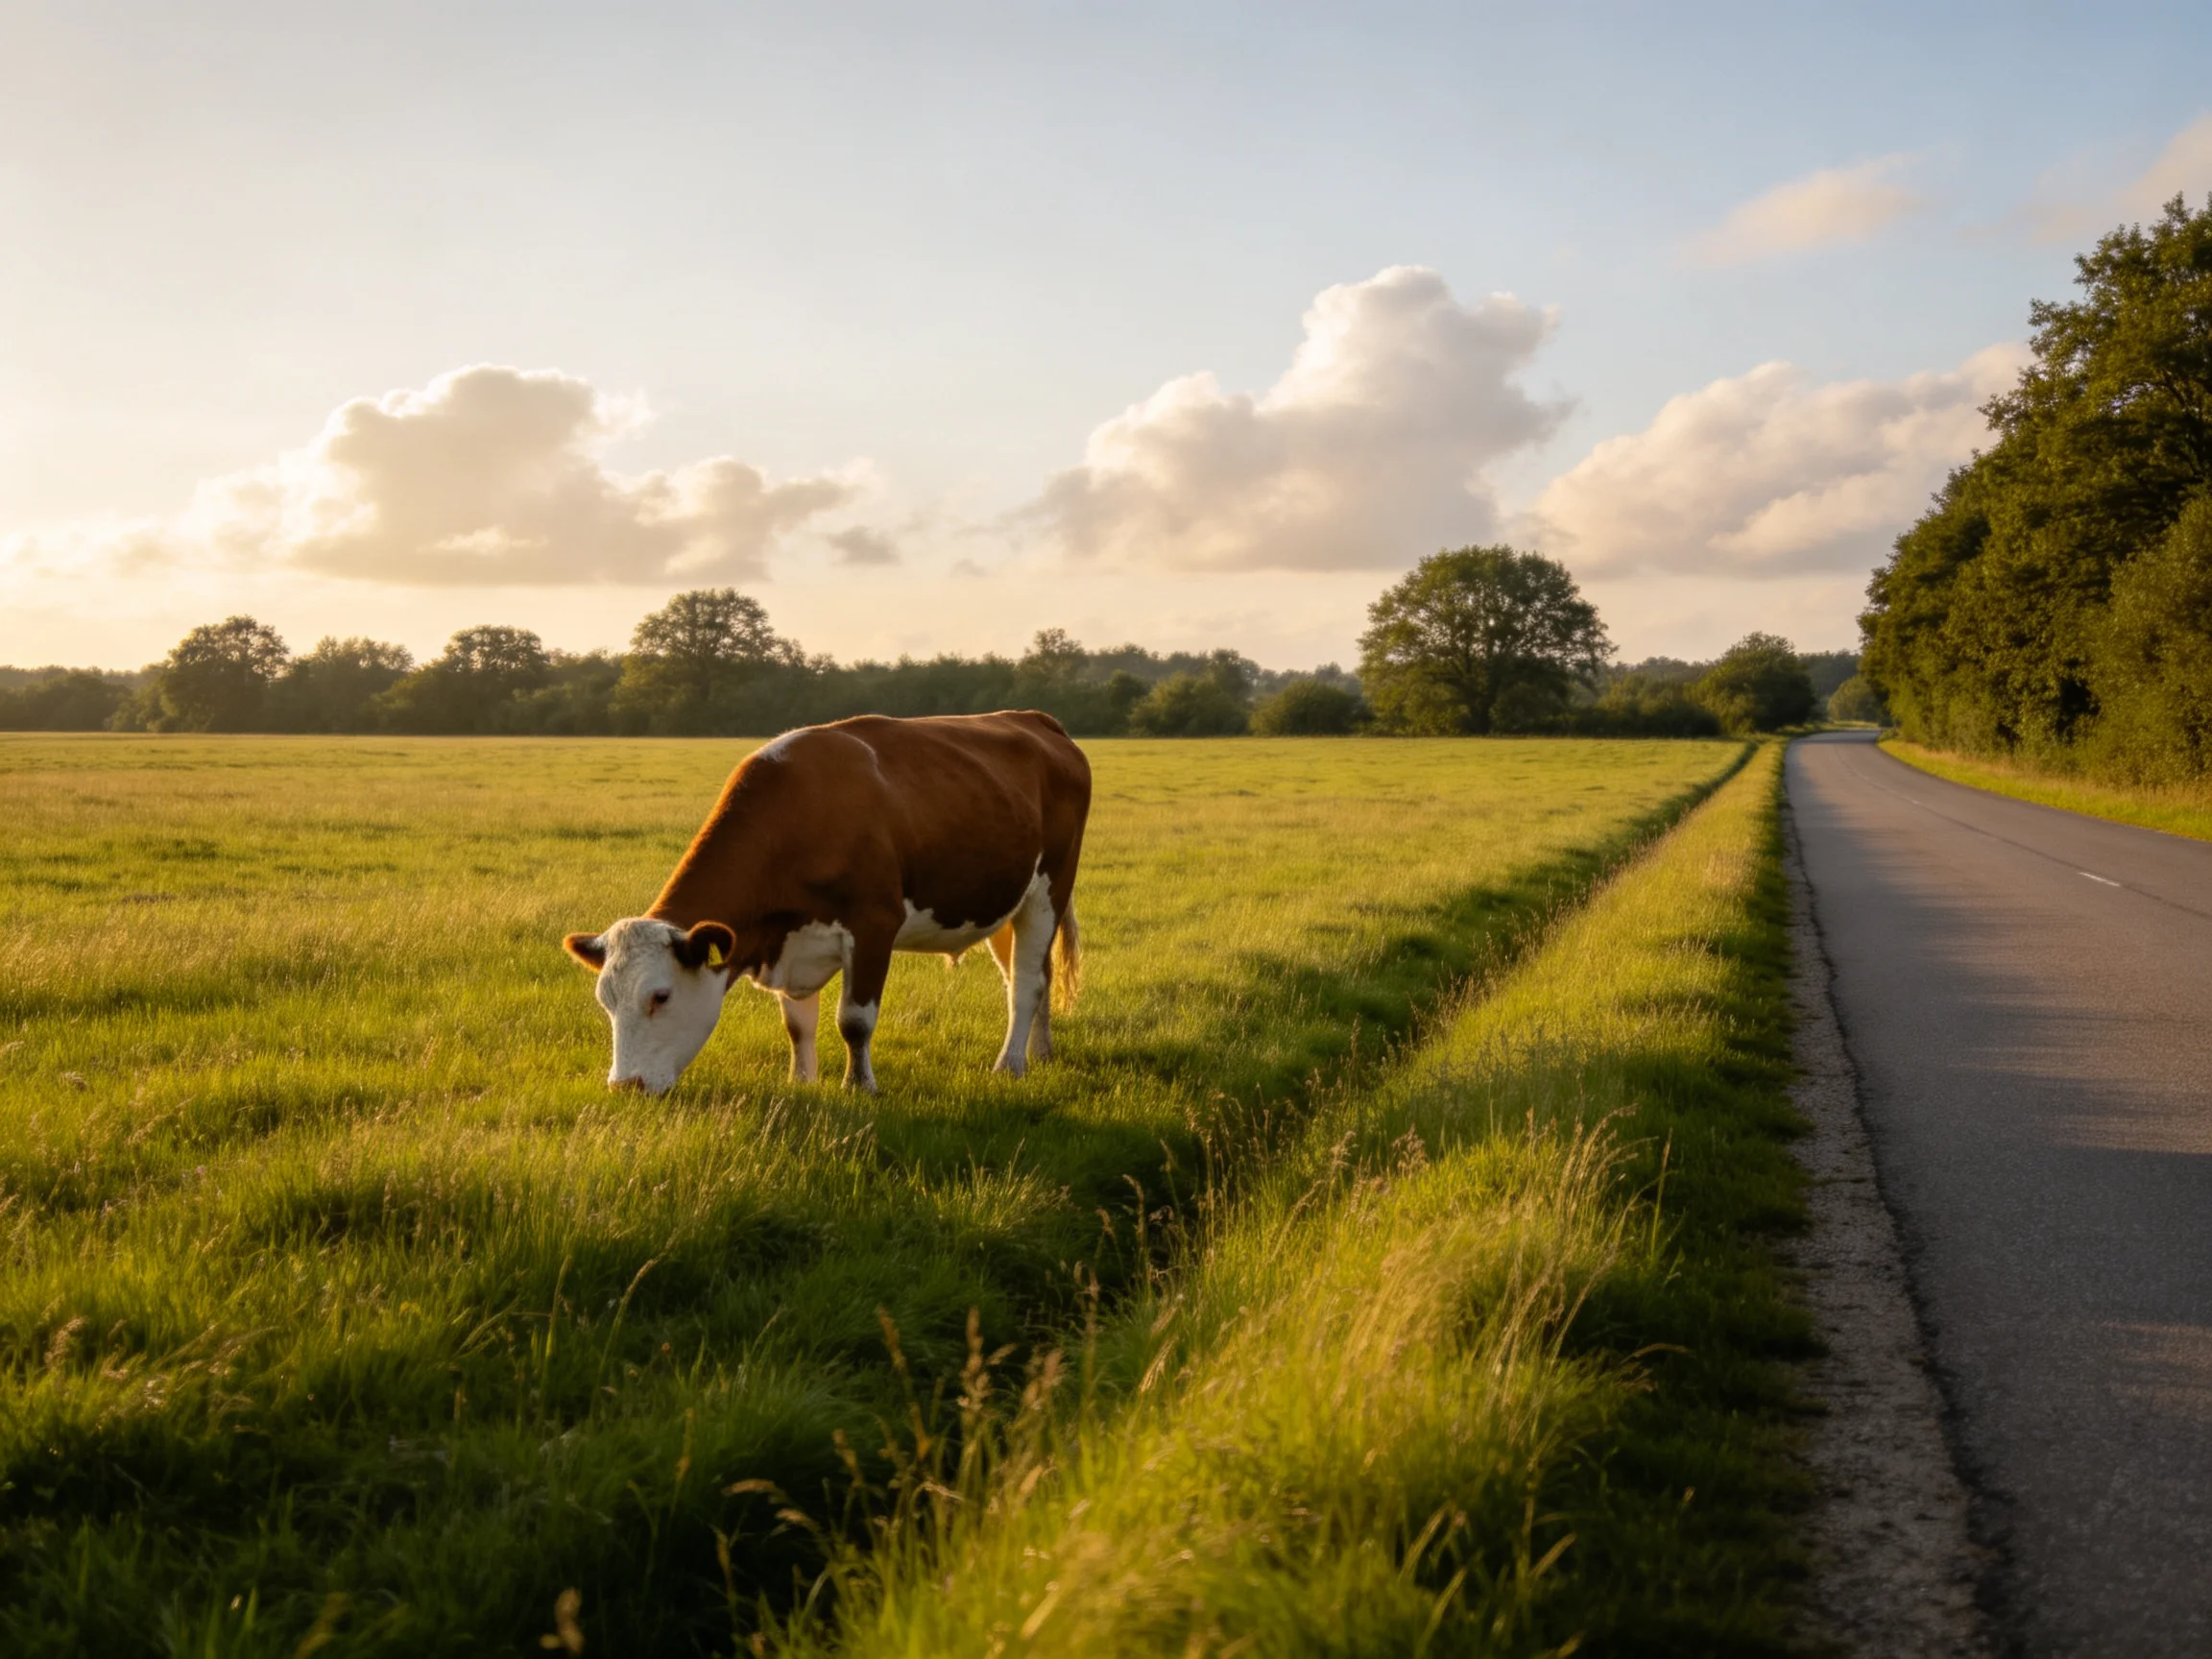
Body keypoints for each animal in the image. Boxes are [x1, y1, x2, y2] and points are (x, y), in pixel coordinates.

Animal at [563, 710, 1089, 1095]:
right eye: (606, 1000)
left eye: (660, 996)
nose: (624, 1086)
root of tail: (1034, 719)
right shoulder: (790, 941)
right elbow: (797, 1025)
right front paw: (801, 1082)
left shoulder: (874, 925)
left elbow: (854, 1021)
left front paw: (859, 1086)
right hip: (1005, 902)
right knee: (1031, 975)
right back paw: (1040, 1053)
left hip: (1048, 891)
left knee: (1026, 983)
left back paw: (1011, 1065)